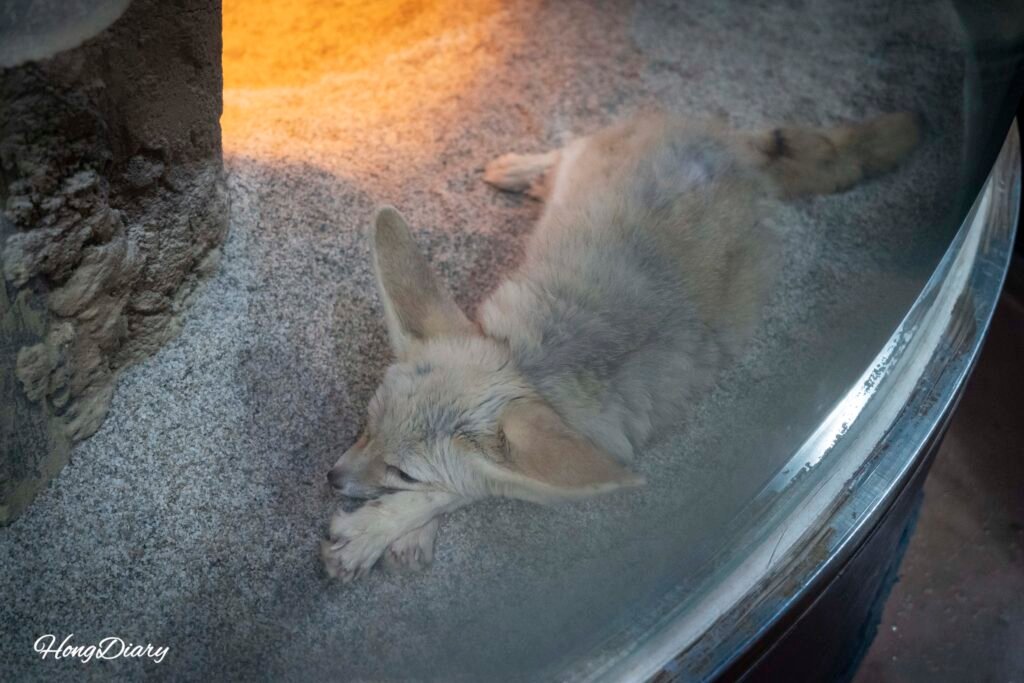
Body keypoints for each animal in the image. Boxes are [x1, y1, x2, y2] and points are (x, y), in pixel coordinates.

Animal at [321, 110, 920, 581]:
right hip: (588, 162)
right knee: (570, 144)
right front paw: (388, 530)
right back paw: (522, 169)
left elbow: (472, 486)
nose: (331, 479)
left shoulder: (577, 453)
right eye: (365, 423)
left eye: (403, 472)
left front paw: (383, 529)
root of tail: (731, 149)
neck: (539, 366)